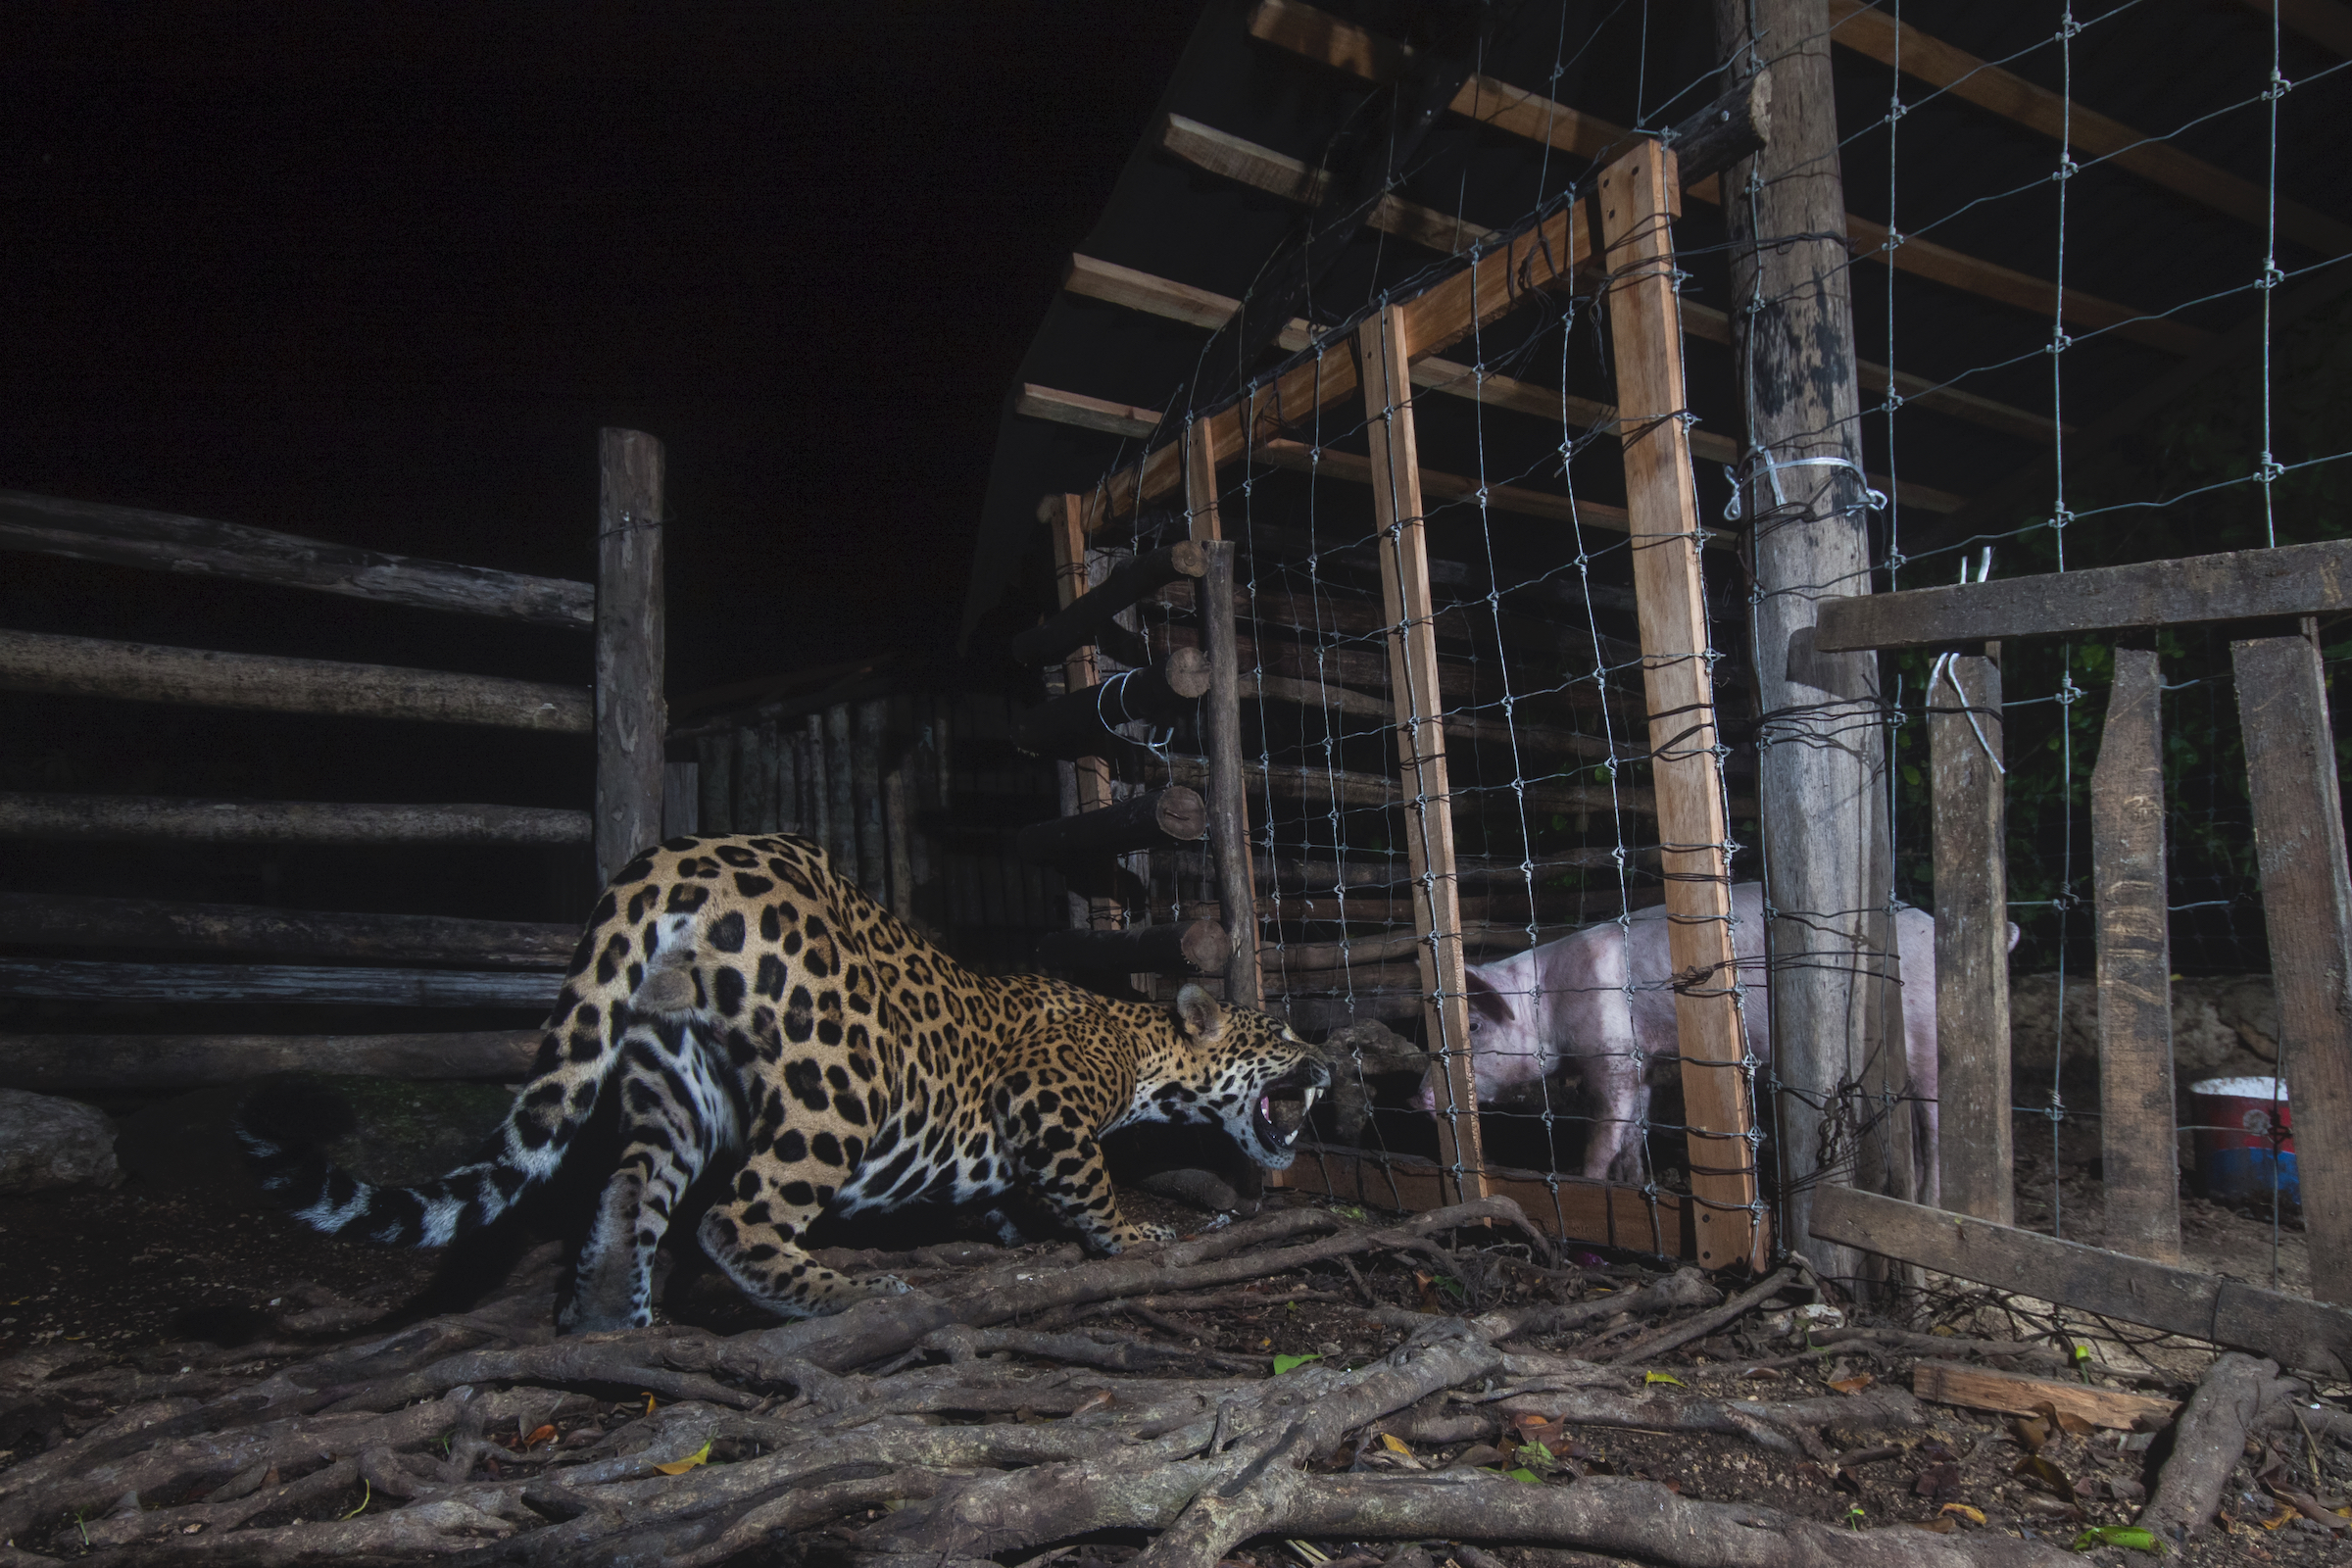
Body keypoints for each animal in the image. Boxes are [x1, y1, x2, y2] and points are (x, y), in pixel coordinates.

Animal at [238, 833, 1330, 1332]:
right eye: (1278, 1030)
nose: (1328, 1063)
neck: (1139, 1039)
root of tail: (674, 857)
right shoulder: (1045, 1100)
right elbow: (1088, 1178)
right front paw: (1133, 1235)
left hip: (672, 1080)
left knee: (626, 1190)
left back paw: (614, 1321)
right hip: (837, 1085)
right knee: (734, 1216)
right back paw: (841, 1291)